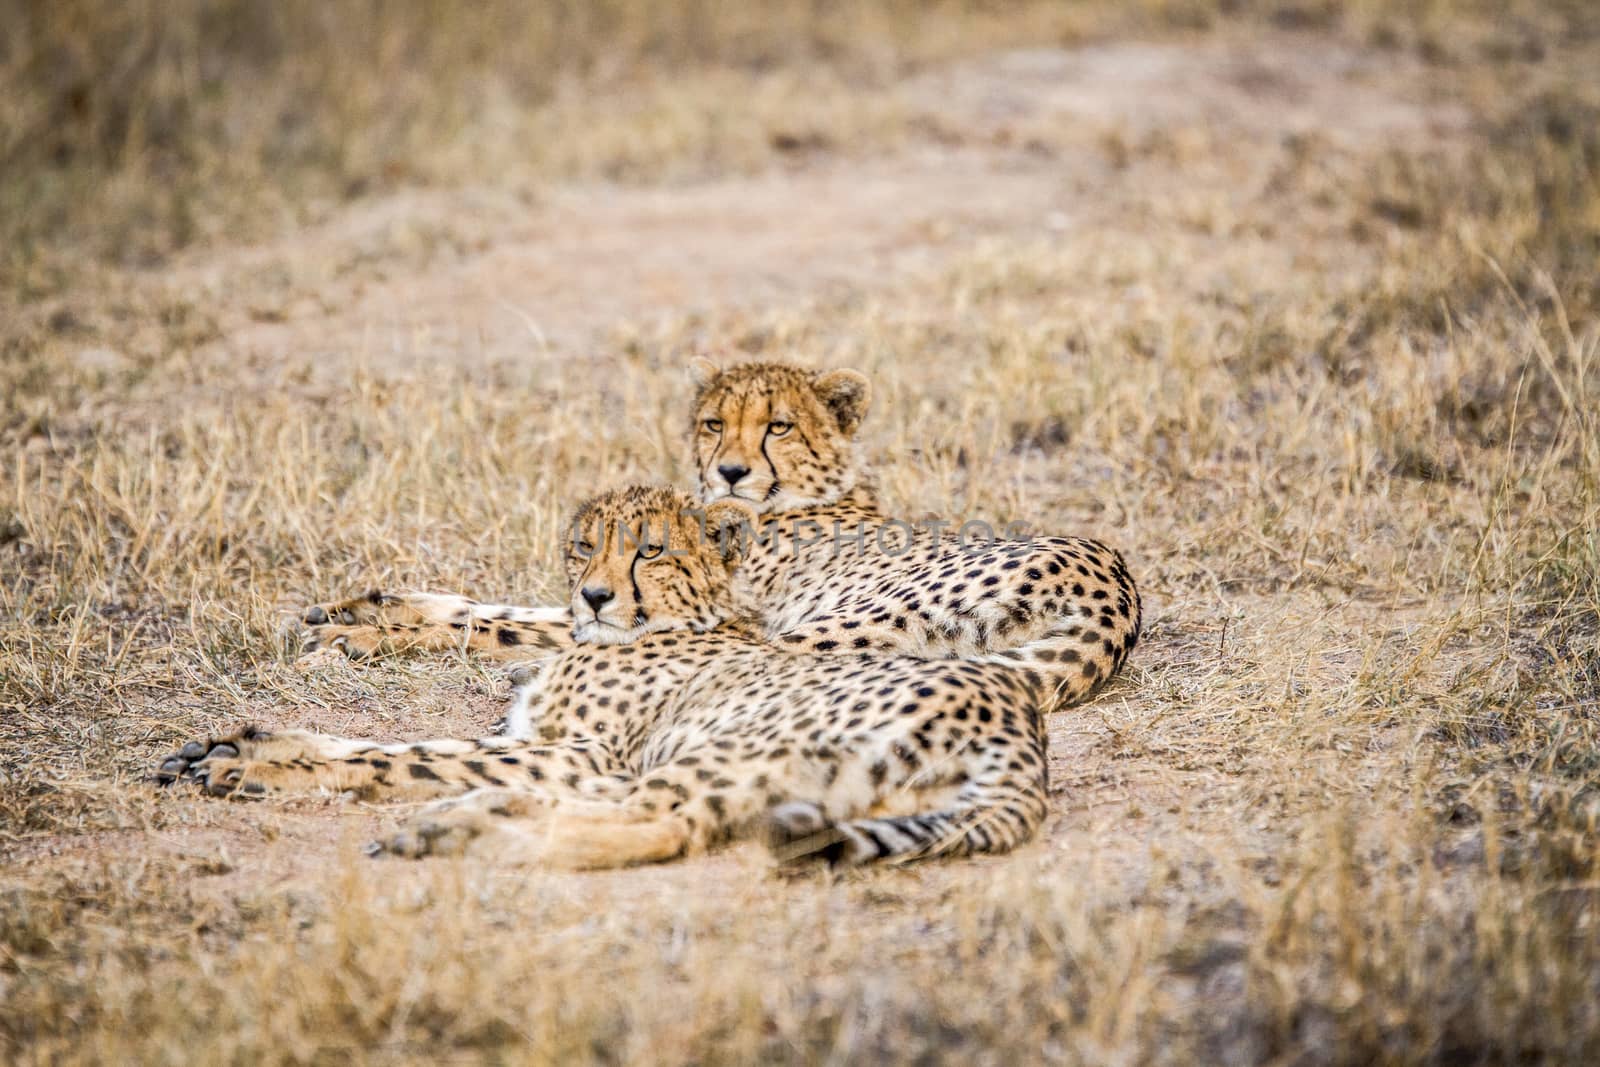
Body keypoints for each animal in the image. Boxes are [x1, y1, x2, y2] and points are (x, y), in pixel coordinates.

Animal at [156, 489, 1056, 870]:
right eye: (586, 544)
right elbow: (414, 743)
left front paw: (252, 765)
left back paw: (459, 832)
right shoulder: (540, 733)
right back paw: (470, 820)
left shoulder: (587, 751)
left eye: (650, 549)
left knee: (666, 825)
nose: (593, 594)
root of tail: (1018, 719)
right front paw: (235, 743)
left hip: (726, 752)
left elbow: (407, 755)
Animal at [300, 363, 1145, 713]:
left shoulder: (698, 617)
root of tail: (1112, 582)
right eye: (712, 423)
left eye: (778, 426)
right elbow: (498, 607)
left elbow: (502, 625)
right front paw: (358, 607)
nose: (731, 470)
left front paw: (353, 638)